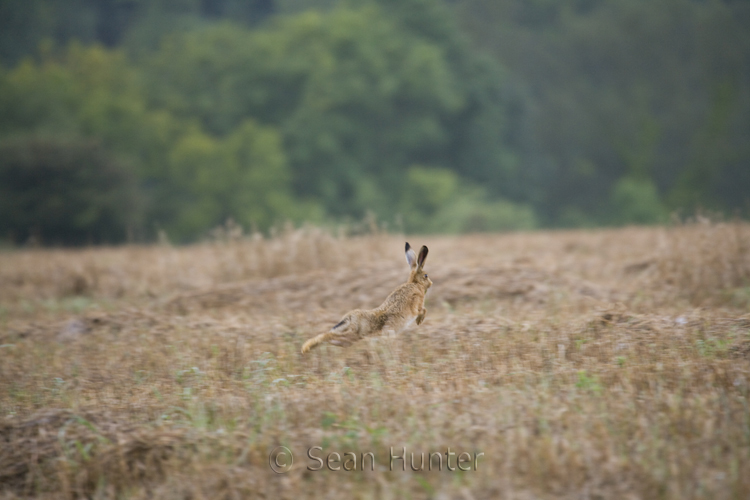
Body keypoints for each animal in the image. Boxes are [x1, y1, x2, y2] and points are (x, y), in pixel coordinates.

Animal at [301, 242, 432, 354]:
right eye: (426, 275)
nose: (431, 283)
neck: (416, 284)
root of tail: (349, 318)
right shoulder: (416, 304)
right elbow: (423, 310)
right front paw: (419, 321)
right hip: (356, 335)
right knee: (328, 335)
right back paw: (306, 348)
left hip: (350, 339)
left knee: (330, 337)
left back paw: (308, 348)